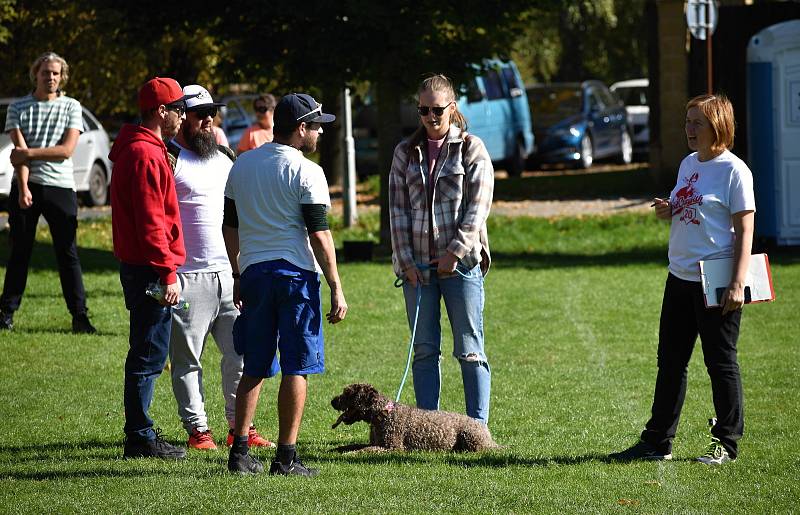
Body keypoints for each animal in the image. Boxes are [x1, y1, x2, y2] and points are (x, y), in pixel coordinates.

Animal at [328, 382, 496, 452]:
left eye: (348, 393)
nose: (332, 401)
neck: (383, 414)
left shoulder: (392, 448)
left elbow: (364, 450)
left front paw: (350, 455)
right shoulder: (377, 443)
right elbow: (353, 445)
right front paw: (338, 449)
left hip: (471, 439)